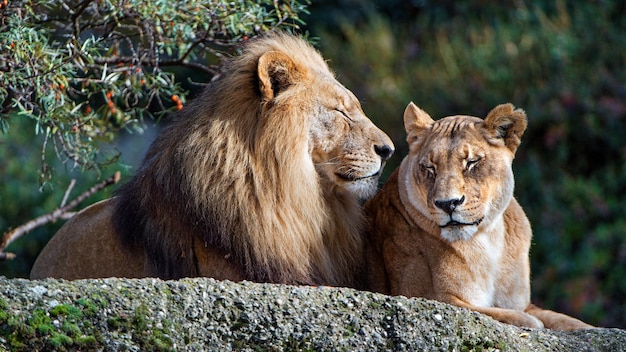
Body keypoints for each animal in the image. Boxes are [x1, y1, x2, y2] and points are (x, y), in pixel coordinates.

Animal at [360, 102, 588, 330]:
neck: (488, 239)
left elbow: (565, 320)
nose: (448, 204)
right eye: (430, 168)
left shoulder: (524, 303)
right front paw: (529, 322)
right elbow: (499, 314)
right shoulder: (429, 296)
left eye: (471, 162)